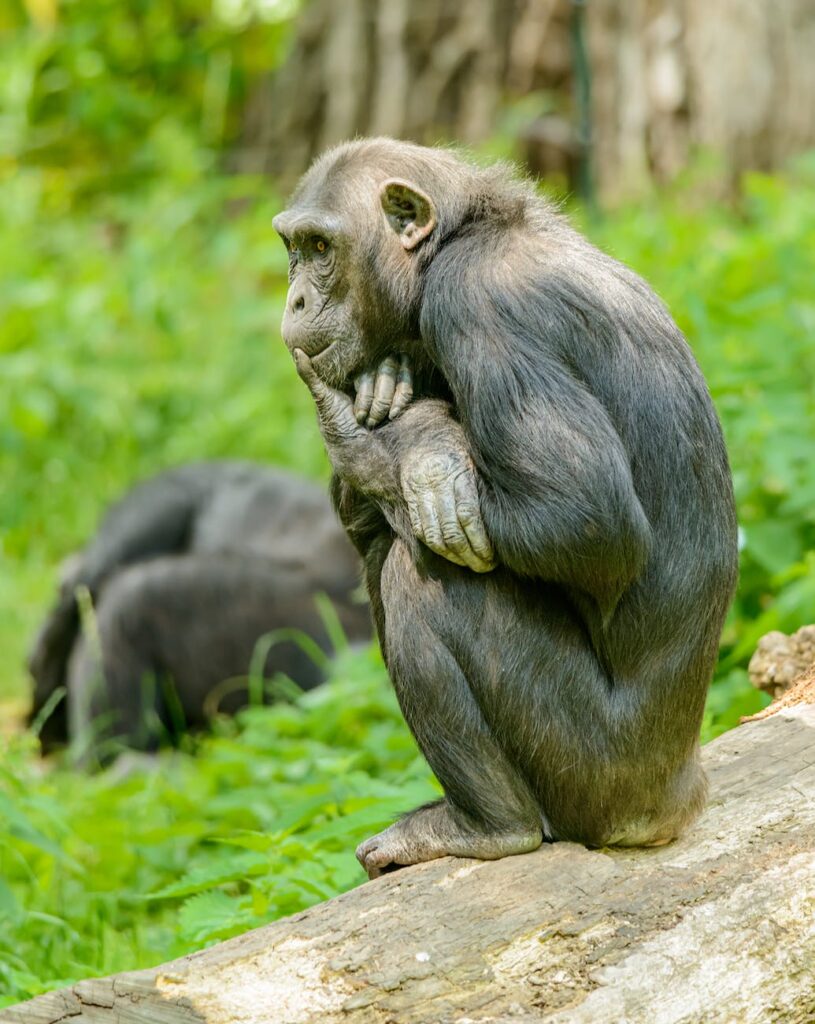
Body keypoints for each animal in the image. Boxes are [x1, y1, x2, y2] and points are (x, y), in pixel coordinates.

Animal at [274, 136, 737, 876]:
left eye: (321, 248)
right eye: (292, 246)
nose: (294, 297)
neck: (456, 241)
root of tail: (674, 806)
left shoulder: (478, 307)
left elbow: (585, 520)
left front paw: (402, 442)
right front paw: (396, 385)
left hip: (589, 771)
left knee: (422, 581)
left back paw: (485, 826)